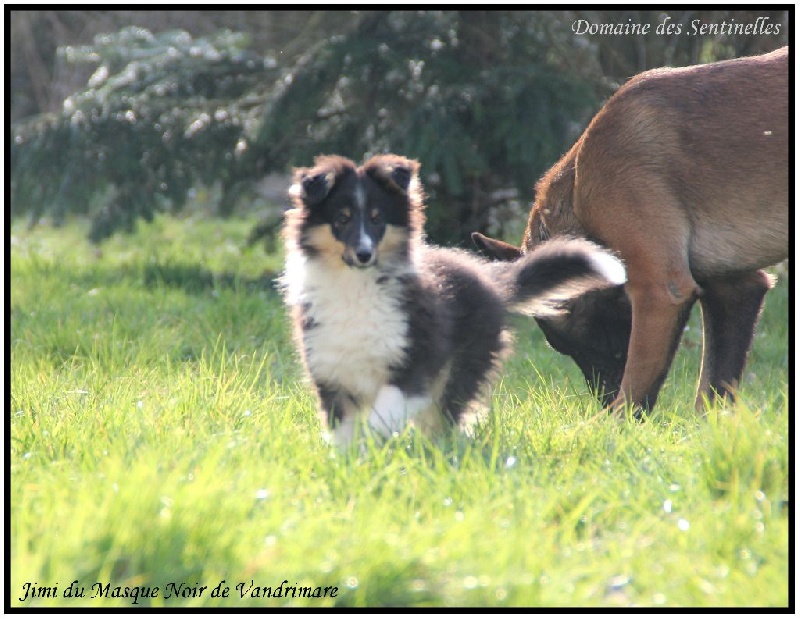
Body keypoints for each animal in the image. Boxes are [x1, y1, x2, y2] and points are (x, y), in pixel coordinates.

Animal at [282, 153, 624, 448]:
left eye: (378, 220)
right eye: (342, 220)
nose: (364, 254)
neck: (356, 287)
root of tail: (488, 279)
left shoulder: (415, 361)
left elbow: (385, 414)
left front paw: (376, 448)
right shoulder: (329, 370)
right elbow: (345, 430)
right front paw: (352, 460)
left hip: (461, 366)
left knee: (444, 418)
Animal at [472, 47, 792, 412]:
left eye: (571, 338)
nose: (602, 398)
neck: (577, 188)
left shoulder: (660, 291)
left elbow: (631, 397)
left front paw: (610, 424)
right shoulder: (735, 291)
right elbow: (710, 394)